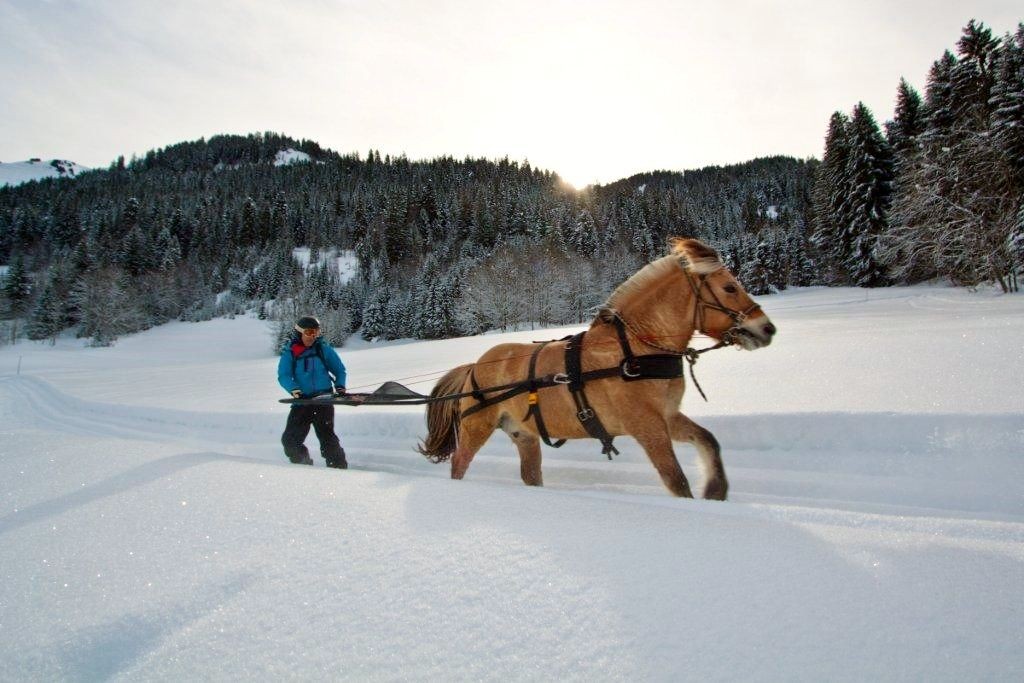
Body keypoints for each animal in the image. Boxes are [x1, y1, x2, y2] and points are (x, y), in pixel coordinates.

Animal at [415, 237, 774, 499]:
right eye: (729, 287)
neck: (635, 350)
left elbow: (708, 441)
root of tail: (474, 365)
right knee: (460, 463)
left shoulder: (667, 417)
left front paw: (716, 490)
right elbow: (676, 480)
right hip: (477, 426)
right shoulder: (647, 425)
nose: (767, 328)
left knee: (530, 475)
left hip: (524, 435)